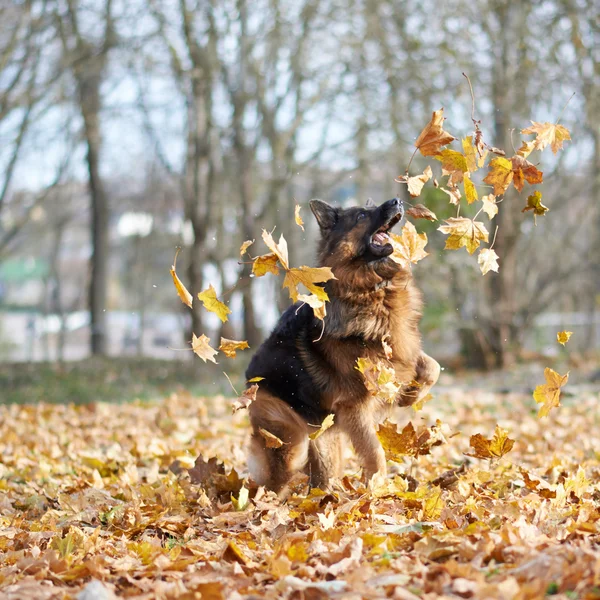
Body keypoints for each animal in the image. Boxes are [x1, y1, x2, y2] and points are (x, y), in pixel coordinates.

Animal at [245, 197, 440, 492]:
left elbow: (432, 366)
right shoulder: (355, 406)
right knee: (276, 480)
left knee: (322, 475)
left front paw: (411, 396)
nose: (396, 200)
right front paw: (378, 487)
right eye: (361, 216)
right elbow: (374, 451)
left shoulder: (401, 349)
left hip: (325, 439)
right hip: (291, 442)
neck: (373, 288)